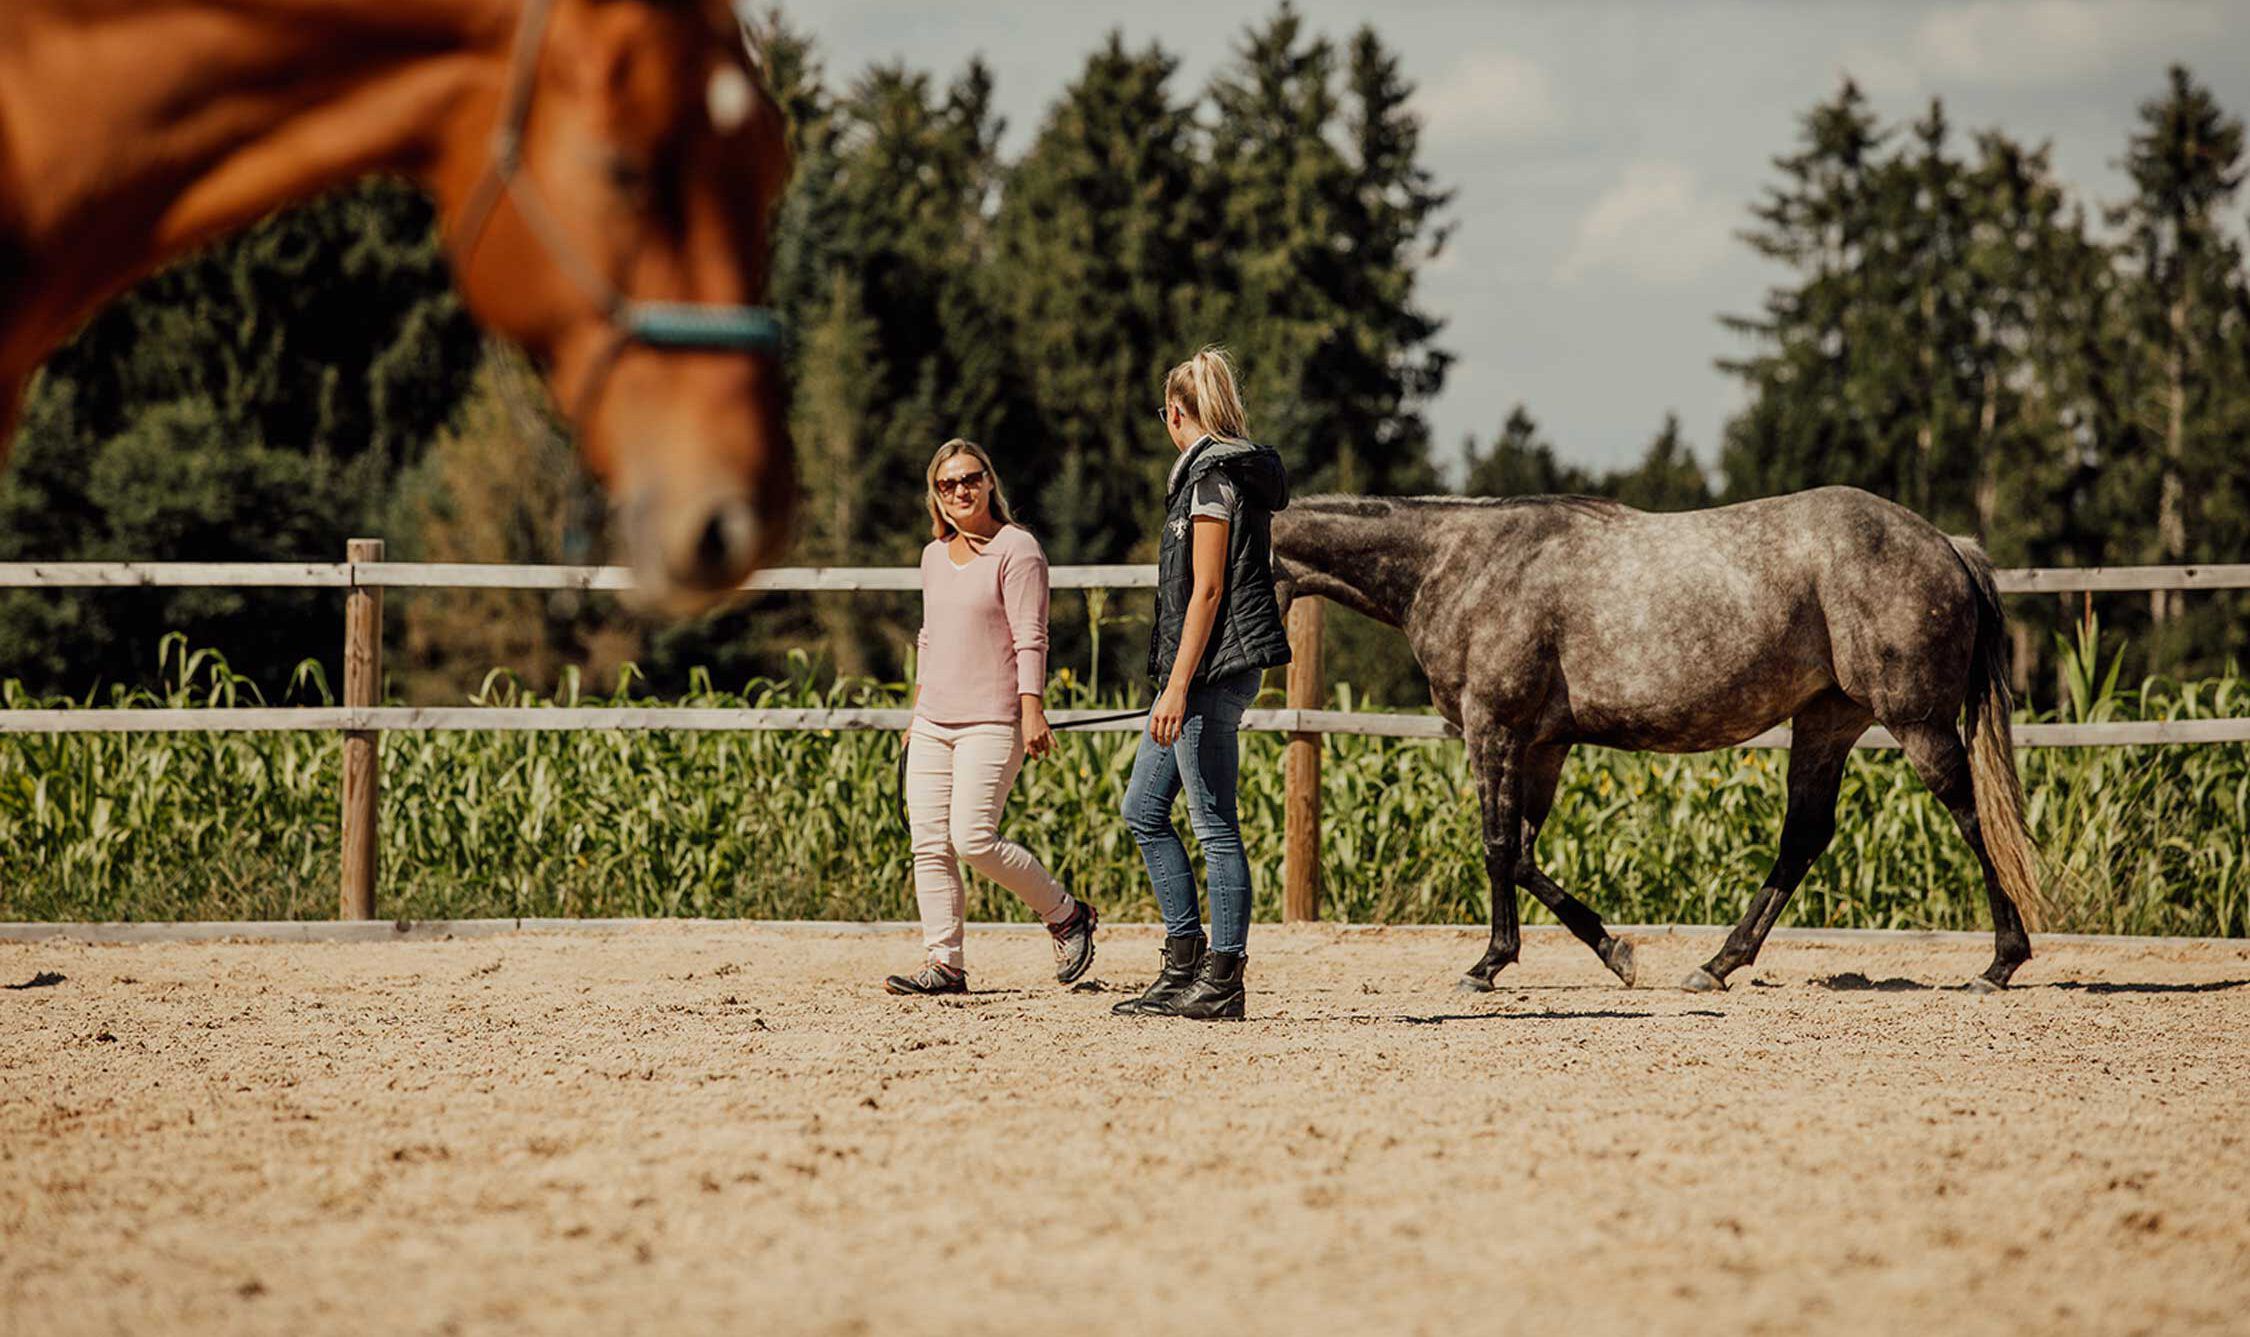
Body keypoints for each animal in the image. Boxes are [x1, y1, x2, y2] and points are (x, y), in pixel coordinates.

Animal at [1278, 486, 2052, 990]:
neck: (1461, 564)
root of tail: (1950, 545)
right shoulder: (1543, 744)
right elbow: (1523, 854)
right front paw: (1608, 952)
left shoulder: (1492, 728)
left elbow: (1497, 848)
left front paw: (1491, 964)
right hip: (1828, 720)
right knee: (1804, 834)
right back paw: (1717, 965)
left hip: (1916, 722)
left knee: (1973, 818)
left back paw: (2000, 963)